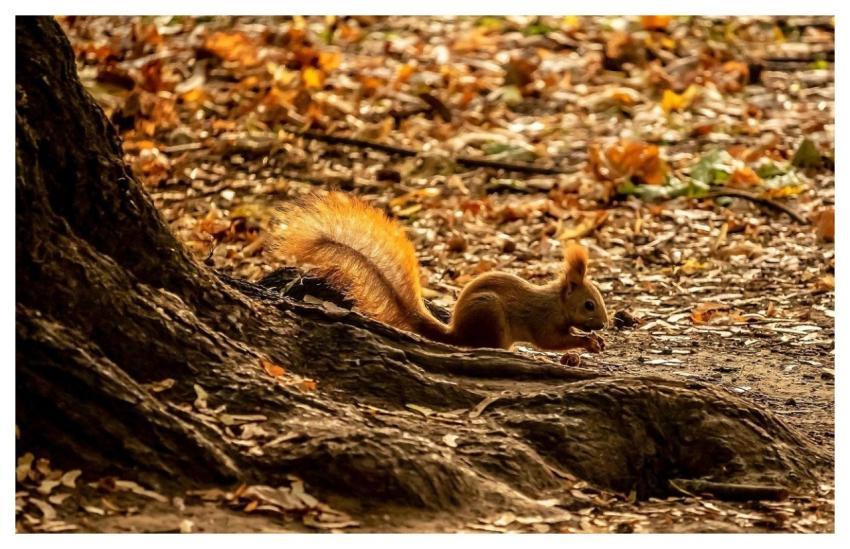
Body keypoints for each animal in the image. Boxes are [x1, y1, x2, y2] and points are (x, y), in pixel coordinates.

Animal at [272, 192, 608, 353]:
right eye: (589, 304)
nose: (605, 324)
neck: (557, 302)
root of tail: (456, 331)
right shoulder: (542, 319)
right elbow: (550, 342)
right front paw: (586, 342)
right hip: (491, 316)